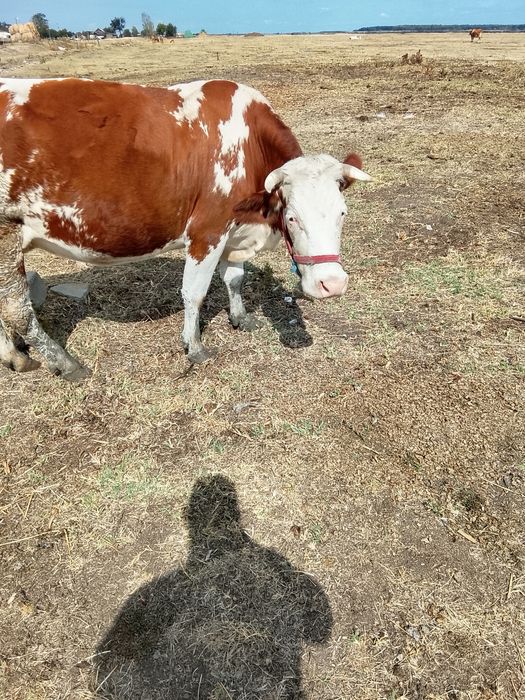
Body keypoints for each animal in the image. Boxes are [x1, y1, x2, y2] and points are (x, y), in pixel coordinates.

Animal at [0, 78, 371, 380]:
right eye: (292, 217)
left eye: (342, 212)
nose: (332, 284)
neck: (248, 145)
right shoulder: (207, 231)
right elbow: (195, 292)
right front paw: (194, 346)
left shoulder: (233, 232)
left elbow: (235, 279)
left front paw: (241, 318)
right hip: (7, 235)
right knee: (16, 310)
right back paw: (64, 363)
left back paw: (16, 358)